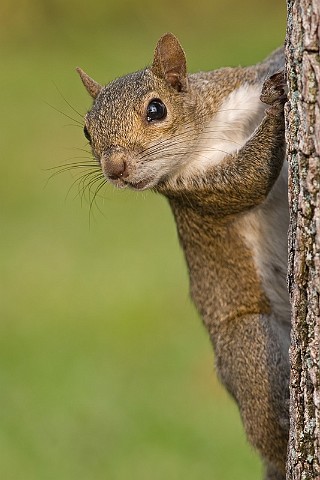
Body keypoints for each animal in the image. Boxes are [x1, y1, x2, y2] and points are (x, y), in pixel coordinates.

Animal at [77, 33, 290, 480]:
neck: (208, 130)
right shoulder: (197, 189)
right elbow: (251, 177)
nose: (115, 169)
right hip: (249, 345)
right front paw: (277, 112)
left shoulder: (235, 86)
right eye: (87, 131)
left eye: (156, 109)